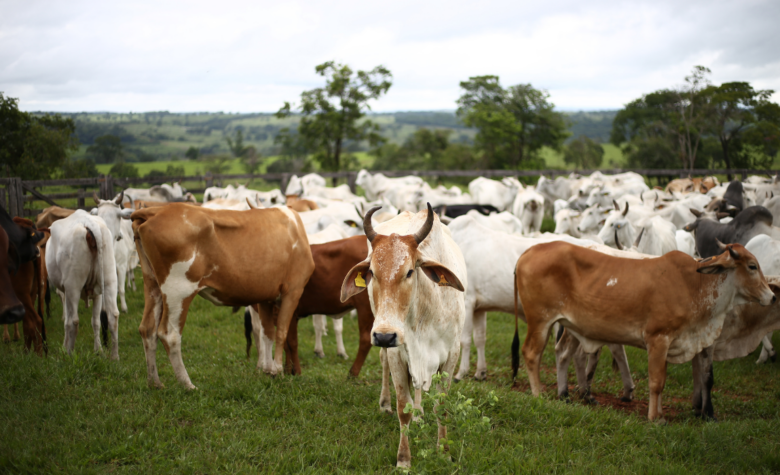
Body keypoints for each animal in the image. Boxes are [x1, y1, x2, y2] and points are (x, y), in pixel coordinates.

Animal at [46, 212, 120, 360]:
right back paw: (114, 357)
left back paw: (70, 354)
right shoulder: (98, 294)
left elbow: (67, 321)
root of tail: (88, 222)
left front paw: (65, 348)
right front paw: (98, 351)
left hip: (73, 286)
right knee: (113, 316)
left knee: (74, 321)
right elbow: (96, 322)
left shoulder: (65, 293)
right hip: (109, 280)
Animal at [132, 203, 314, 388]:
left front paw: (268, 370)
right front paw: (277, 370)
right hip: (178, 290)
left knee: (147, 329)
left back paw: (155, 383)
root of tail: (157, 210)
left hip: (152, 285)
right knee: (170, 335)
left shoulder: (265, 296)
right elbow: (281, 332)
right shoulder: (293, 290)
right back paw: (188, 385)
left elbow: (267, 333)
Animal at [512, 242, 772, 420]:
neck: (695, 285)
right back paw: (538, 395)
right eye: (752, 266)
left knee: (560, 353)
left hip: (564, 325)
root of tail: (528, 252)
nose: (772, 296)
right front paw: (655, 418)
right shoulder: (658, 339)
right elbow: (656, 381)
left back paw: (563, 394)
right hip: (540, 321)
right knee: (531, 354)